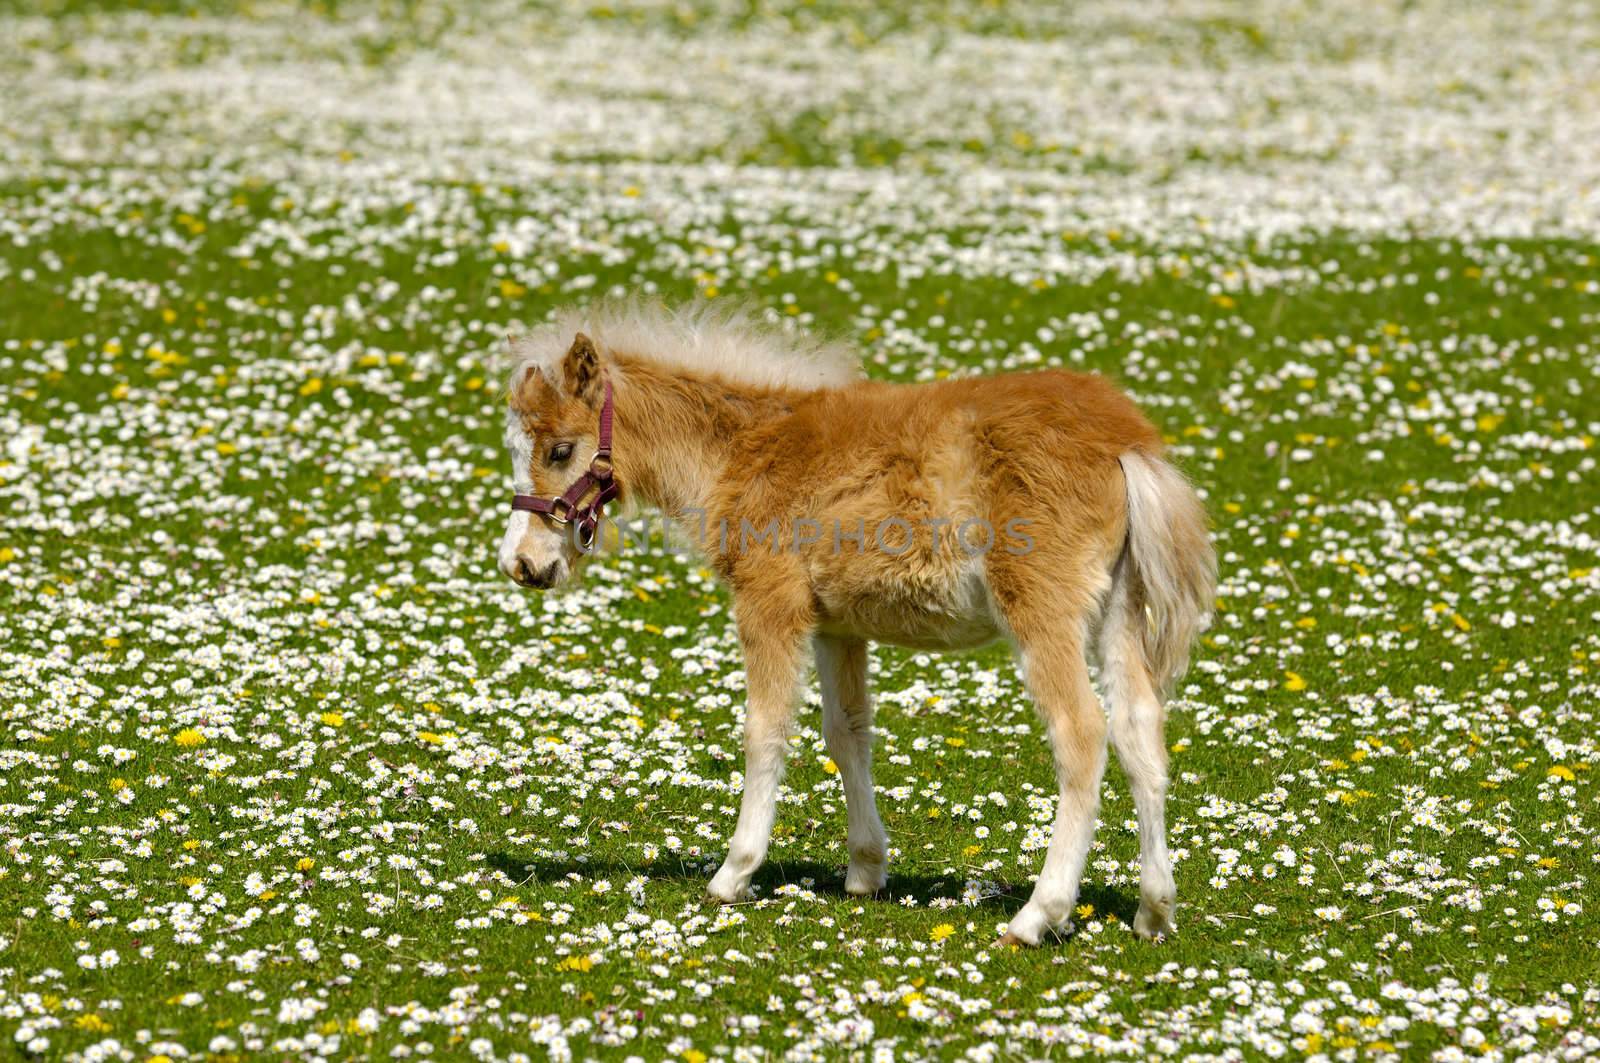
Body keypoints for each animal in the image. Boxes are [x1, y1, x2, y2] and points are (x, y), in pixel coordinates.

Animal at [499, 300, 1209, 947]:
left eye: (561, 450)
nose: (522, 564)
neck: (745, 448)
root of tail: (1127, 442)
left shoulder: (770, 602)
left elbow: (765, 731)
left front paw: (734, 874)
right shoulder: (837, 625)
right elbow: (847, 733)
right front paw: (867, 870)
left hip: (1042, 609)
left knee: (1082, 733)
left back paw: (1039, 914)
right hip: (1119, 609)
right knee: (1140, 729)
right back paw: (1154, 910)